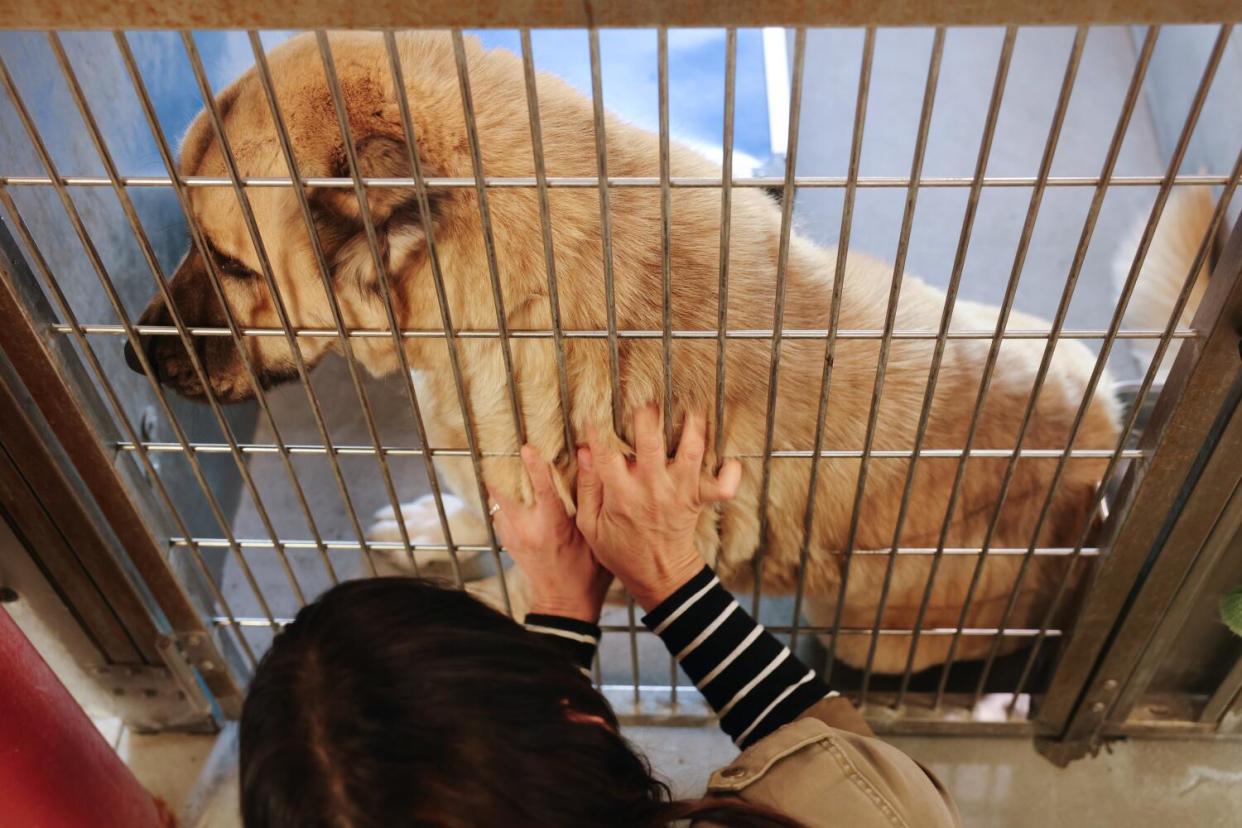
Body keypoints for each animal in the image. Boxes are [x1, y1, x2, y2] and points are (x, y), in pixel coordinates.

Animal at [121, 32, 1157, 675]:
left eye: (231, 261)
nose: (132, 358)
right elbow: (476, 505)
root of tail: (1106, 454)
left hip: (875, 617)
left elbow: (505, 598)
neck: (512, 293)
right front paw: (432, 527)